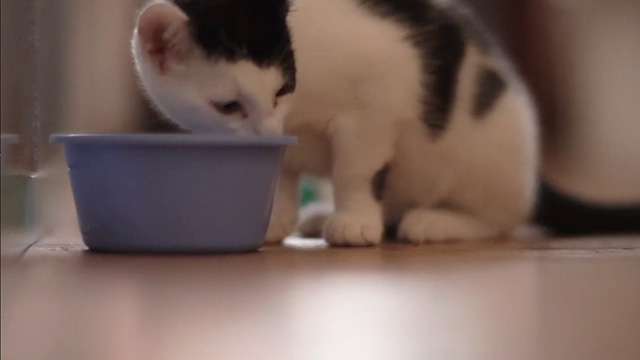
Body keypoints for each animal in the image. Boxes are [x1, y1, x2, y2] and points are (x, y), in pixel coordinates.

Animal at [130, 0, 636, 245]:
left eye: (282, 88)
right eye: (229, 106)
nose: (269, 132)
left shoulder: (377, 98)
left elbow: (355, 170)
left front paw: (355, 221)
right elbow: (283, 174)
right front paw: (275, 219)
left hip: (487, 147)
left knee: (503, 218)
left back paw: (434, 222)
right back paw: (321, 215)